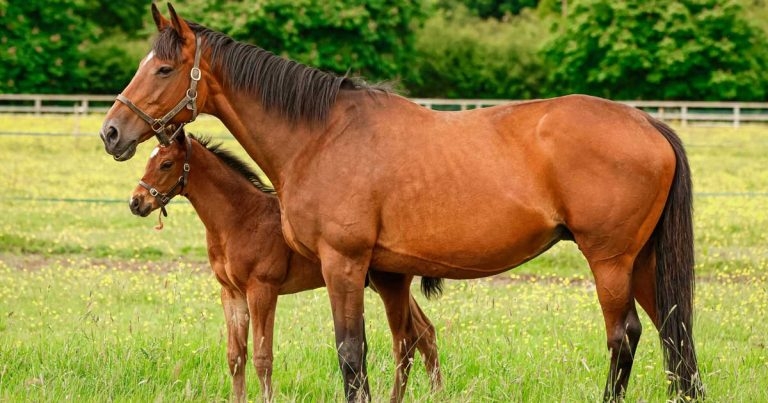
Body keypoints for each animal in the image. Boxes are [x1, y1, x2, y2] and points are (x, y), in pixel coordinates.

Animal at [128, 131, 442, 402]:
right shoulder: (231, 293)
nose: (136, 202)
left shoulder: (262, 290)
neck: (241, 219)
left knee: (408, 339)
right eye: (148, 160)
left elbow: (262, 358)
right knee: (425, 332)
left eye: (166, 164)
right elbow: (235, 357)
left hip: (389, 283)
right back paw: (436, 393)